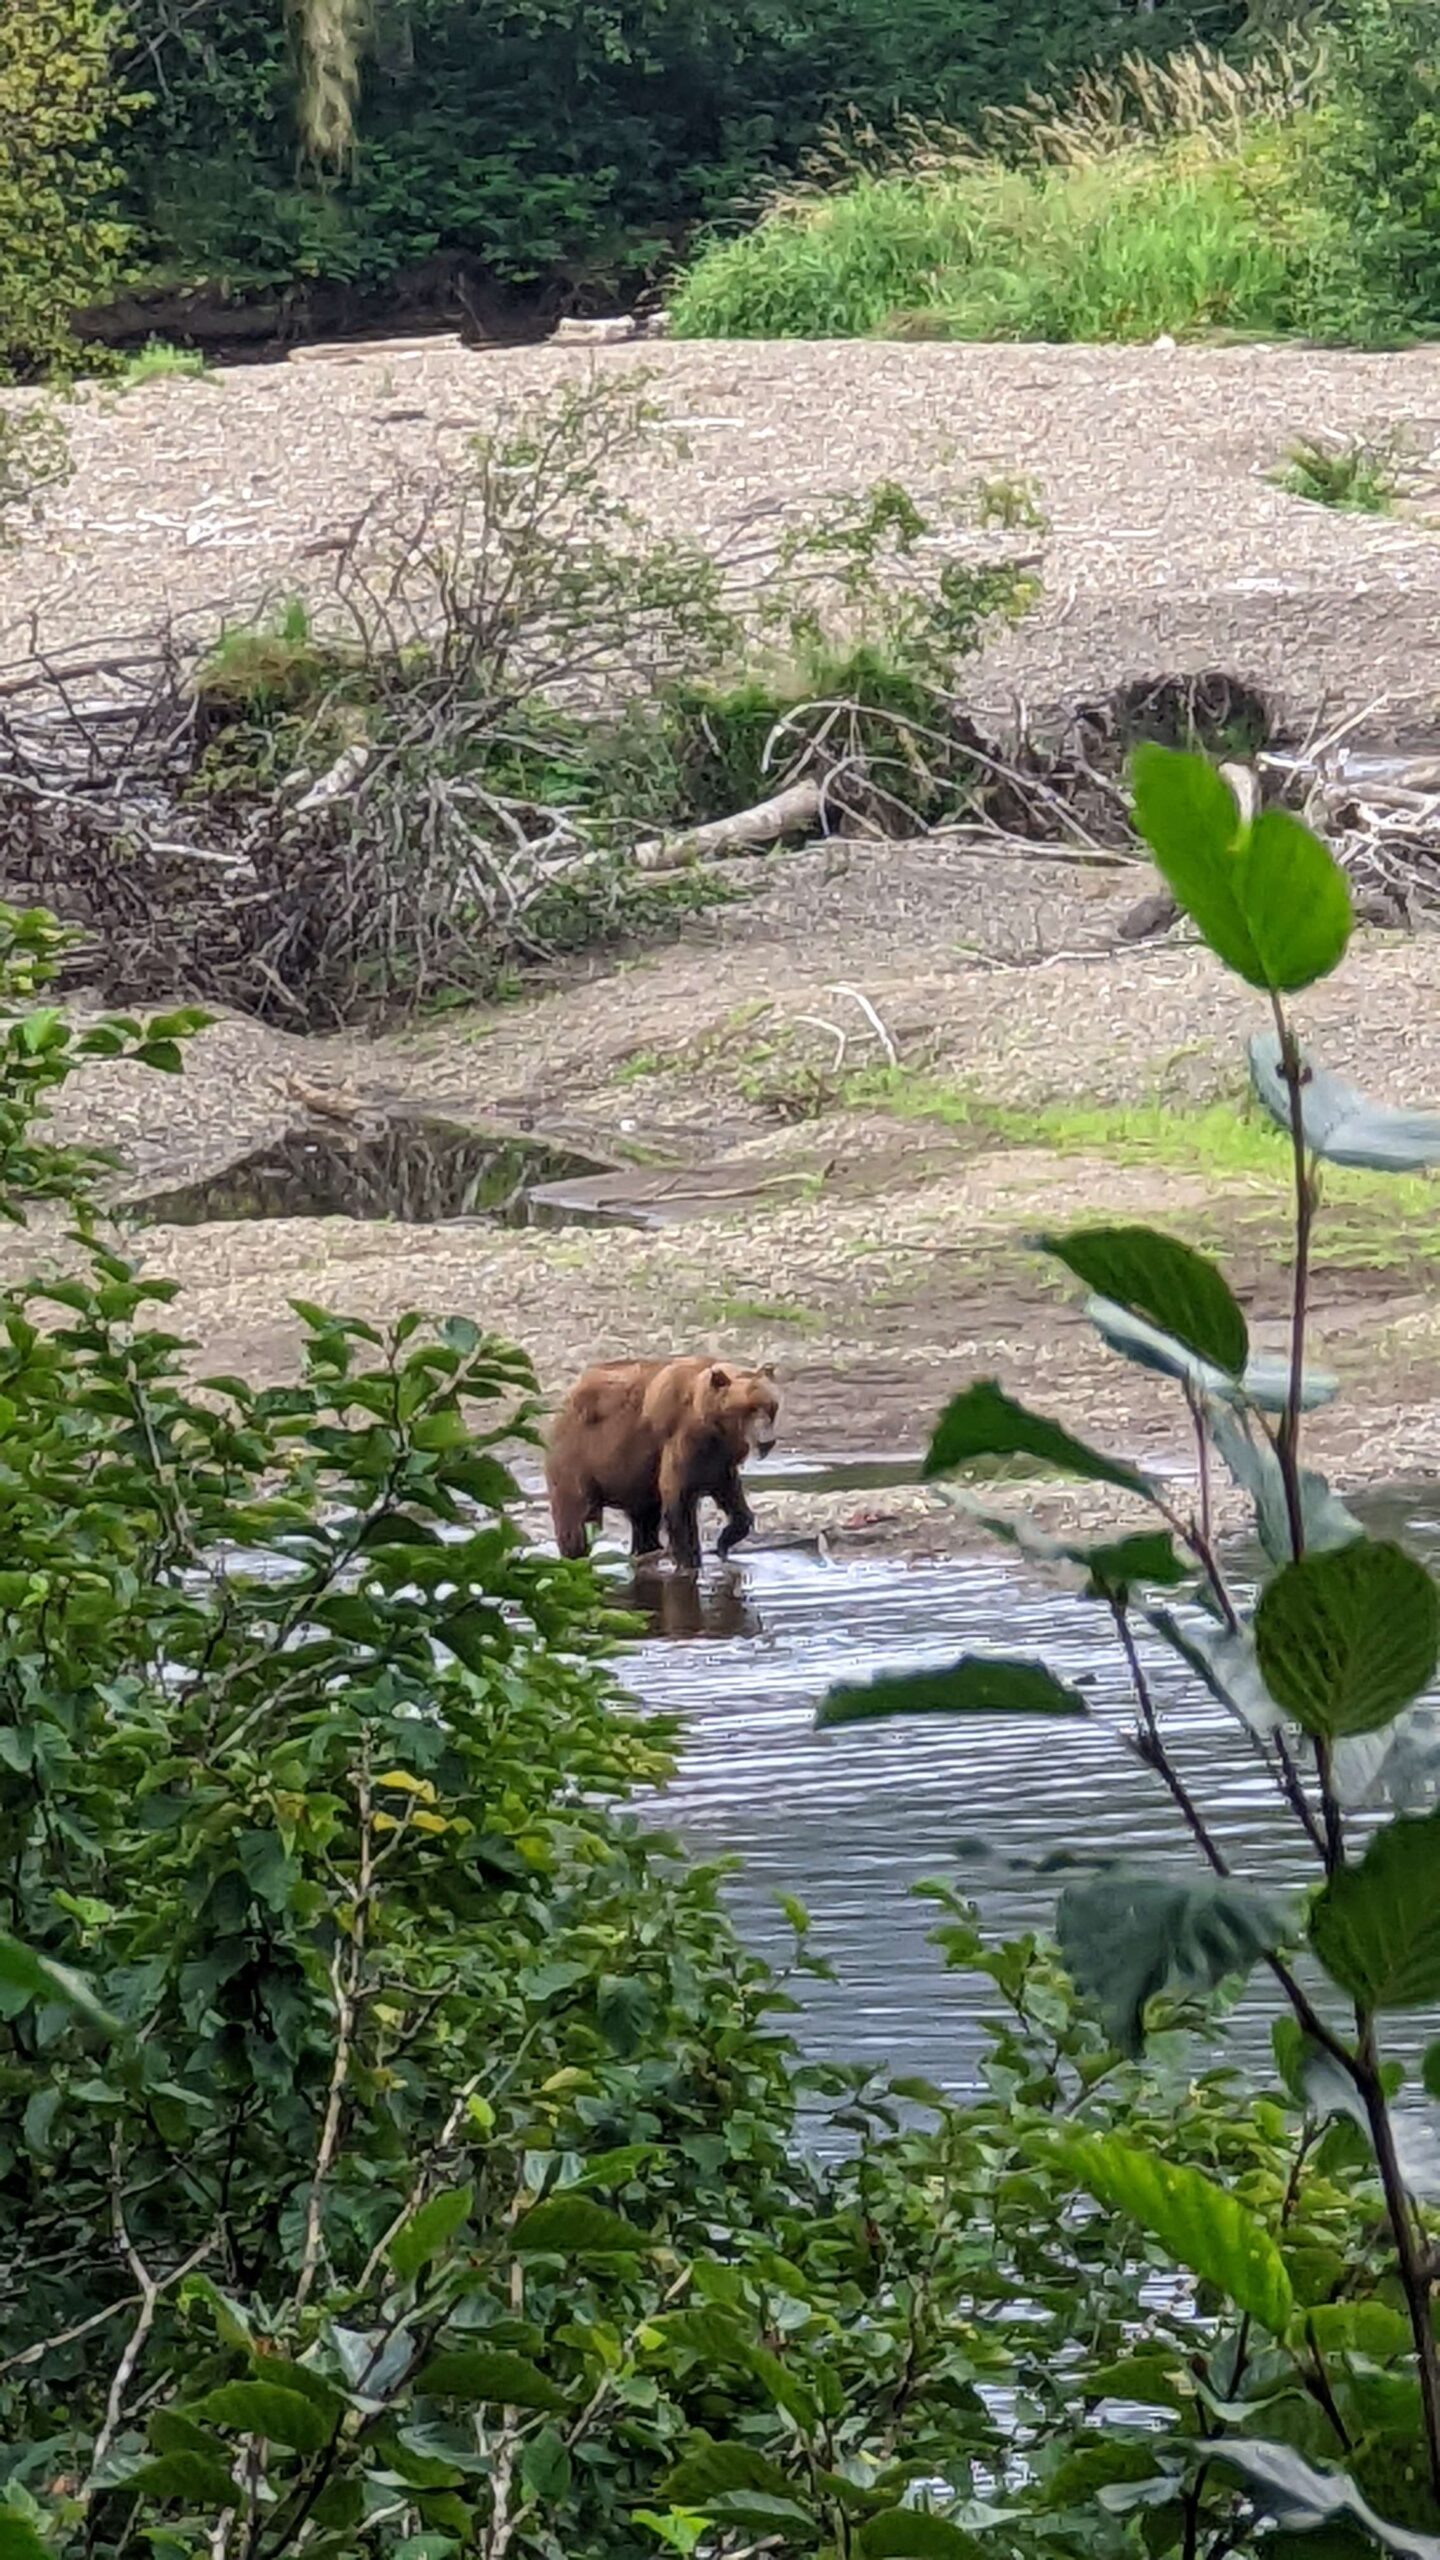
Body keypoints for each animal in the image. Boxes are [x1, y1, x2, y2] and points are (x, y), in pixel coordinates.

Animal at [545, 1354, 779, 1571]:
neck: (715, 1429)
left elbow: (733, 1500)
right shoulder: (682, 1441)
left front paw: (723, 1542)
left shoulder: (719, 1461)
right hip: (580, 1459)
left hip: (633, 1480)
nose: (767, 1441)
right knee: (576, 1519)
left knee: (644, 1520)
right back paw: (576, 1558)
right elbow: (678, 1500)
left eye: (771, 1407)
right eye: (749, 1409)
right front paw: (689, 1561)